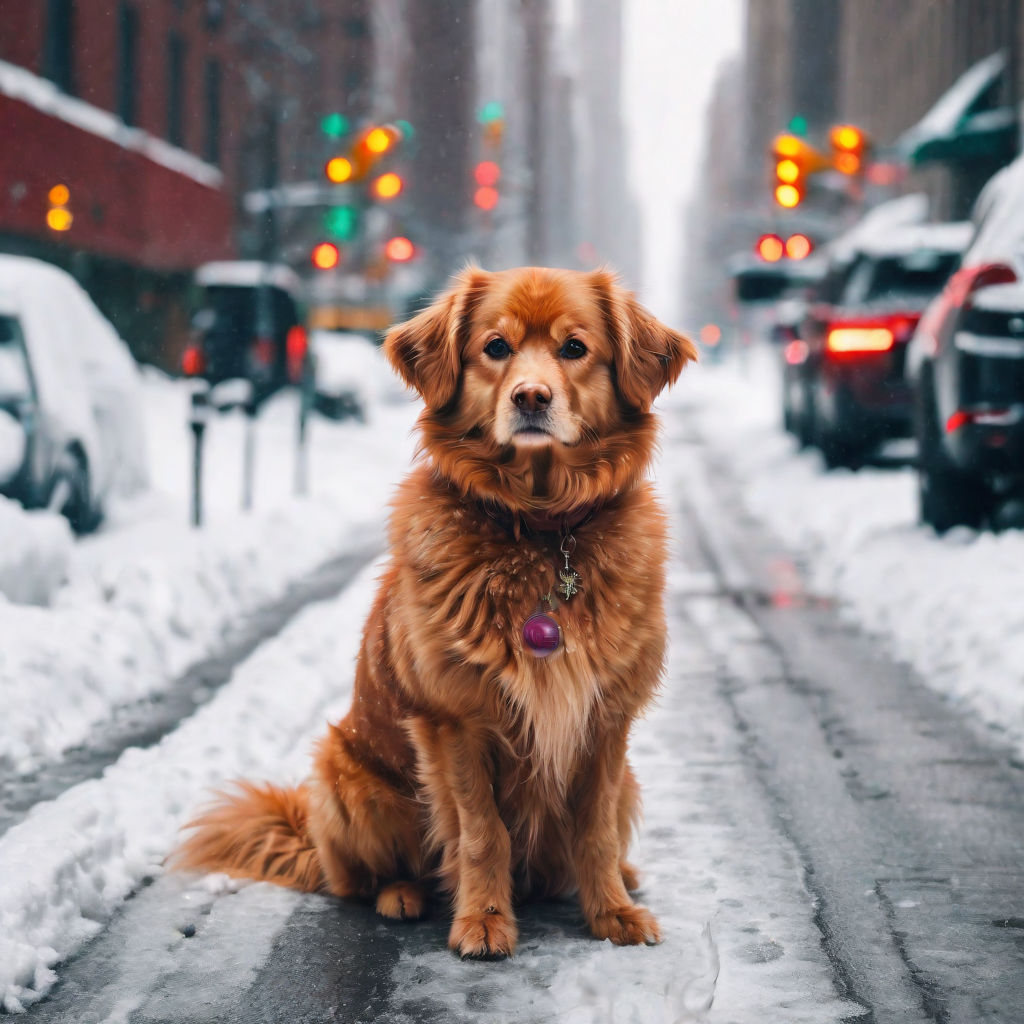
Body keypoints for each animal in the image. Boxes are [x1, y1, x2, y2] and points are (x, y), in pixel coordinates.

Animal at [174, 268, 696, 954]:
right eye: (496, 347)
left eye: (574, 348)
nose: (531, 397)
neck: (539, 532)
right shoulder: (456, 720)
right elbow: (481, 833)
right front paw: (484, 921)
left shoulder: (607, 722)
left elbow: (597, 829)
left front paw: (611, 912)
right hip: (347, 780)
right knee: (360, 880)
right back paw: (403, 896)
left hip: (628, 778)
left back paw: (619, 878)